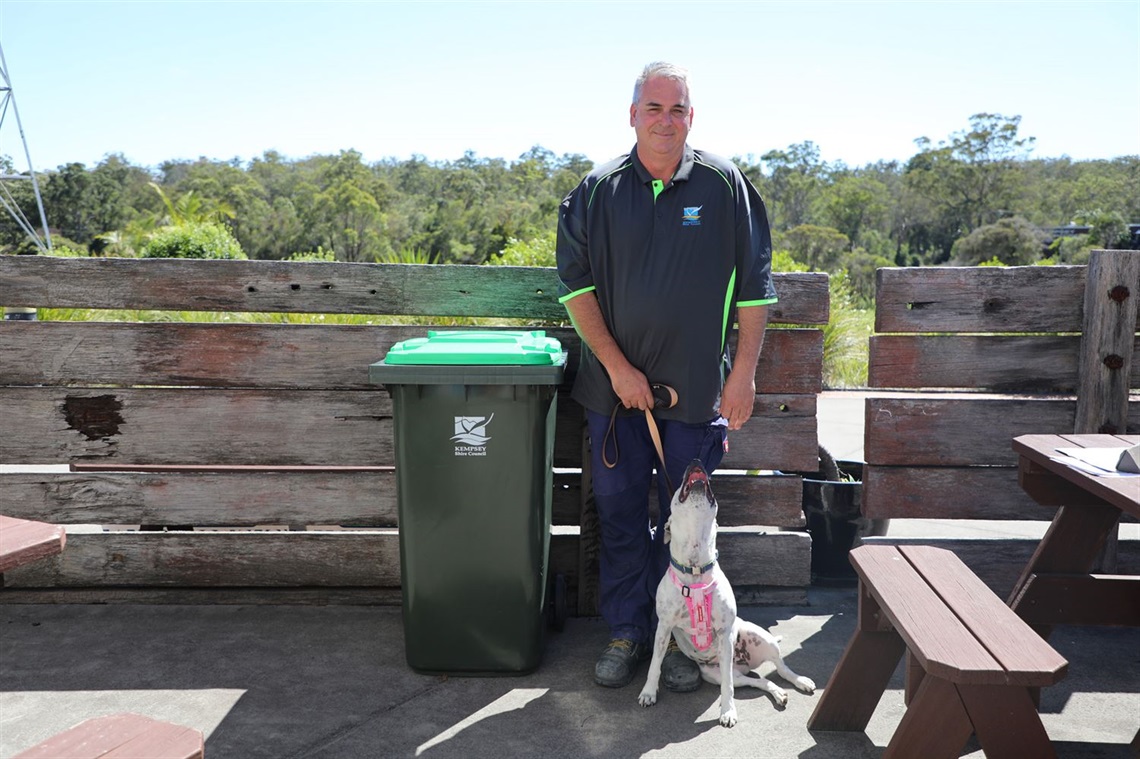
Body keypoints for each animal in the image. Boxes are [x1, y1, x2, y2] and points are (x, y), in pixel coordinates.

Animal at [638, 458, 816, 724]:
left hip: (759, 637)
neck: (695, 569)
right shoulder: (663, 627)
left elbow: (727, 687)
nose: (696, 460)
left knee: (780, 667)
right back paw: (778, 694)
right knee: (756, 681)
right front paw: (648, 692)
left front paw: (728, 711)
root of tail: (741, 662)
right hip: (715, 673)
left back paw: (800, 681)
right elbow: (654, 665)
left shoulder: (724, 630)